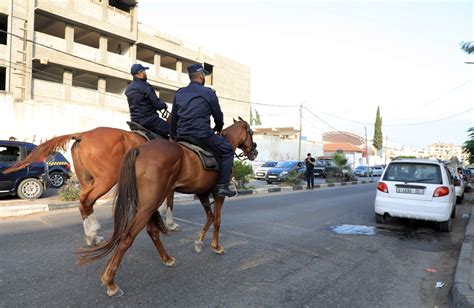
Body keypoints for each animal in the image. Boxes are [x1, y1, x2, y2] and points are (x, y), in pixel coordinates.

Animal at [3, 126, 180, 244]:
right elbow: (170, 201)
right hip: (106, 179)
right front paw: (170, 223)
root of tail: (83, 135)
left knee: (84, 202)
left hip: (87, 181)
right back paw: (93, 231)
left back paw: (91, 236)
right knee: (87, 201)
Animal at [78, 117, 256, 296]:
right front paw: (216, 246)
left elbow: (210, 217)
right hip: (143, 201)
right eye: (251, 132)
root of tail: (139, 150)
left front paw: (199, 242)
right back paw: (110, 280)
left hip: (146, 204)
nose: (254, 152)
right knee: (125, 235)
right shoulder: (218, 193)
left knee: (151, 230)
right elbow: (217, 220)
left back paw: (166, 259)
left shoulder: (202, 193)